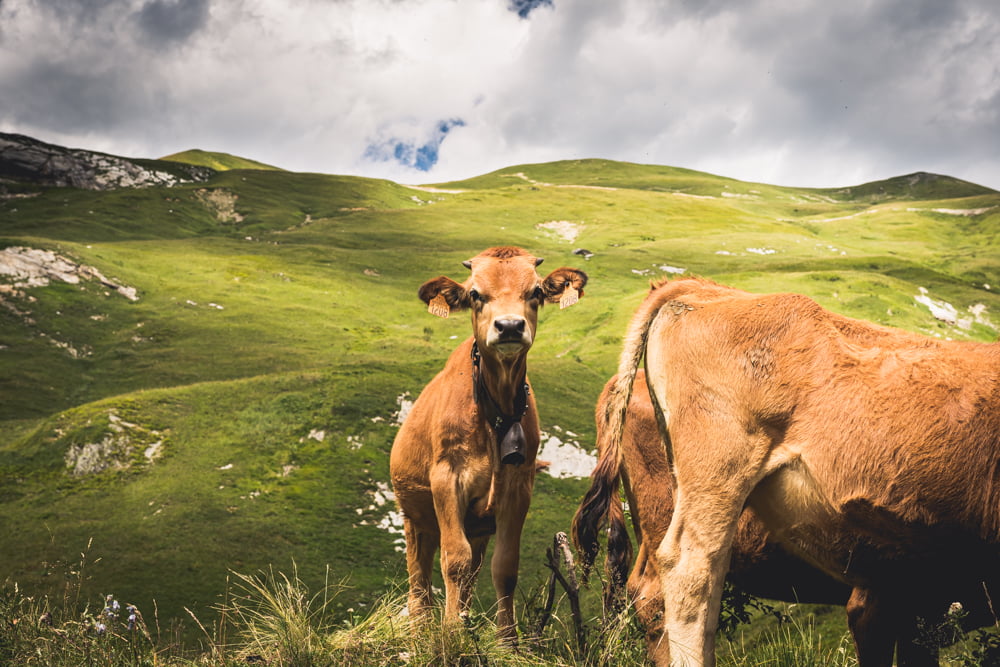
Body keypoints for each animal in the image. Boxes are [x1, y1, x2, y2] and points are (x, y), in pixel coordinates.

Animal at [388, 248, 584, 644]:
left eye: (536, 291)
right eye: (476, 294)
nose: (508, 326)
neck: (494, 413)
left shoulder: (518, 486)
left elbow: (505, 567)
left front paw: (506, 641)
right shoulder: (447, 478)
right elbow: (454, 561)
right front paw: (450, 636)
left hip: (476, 526)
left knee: (470, 577)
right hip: (415, 518)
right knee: (419, 584)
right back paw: (423, 631)